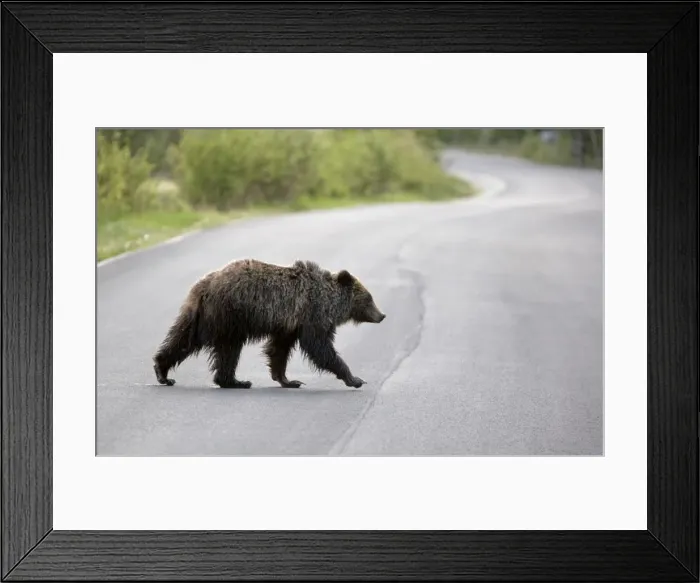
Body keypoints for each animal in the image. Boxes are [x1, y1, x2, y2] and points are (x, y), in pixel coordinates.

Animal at [152, 258, 386, 389]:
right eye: (369, 298)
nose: (382, 315)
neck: (329, 301)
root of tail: (203, 285)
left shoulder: (289, 325)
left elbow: (278, 350)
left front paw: (287, 380)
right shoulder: (311, 315)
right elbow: (319, 347)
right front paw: (354, 378)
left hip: (201, 316)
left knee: (184, 338)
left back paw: (163, 371)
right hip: (231, 316)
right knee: (228, 349)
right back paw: (236, 381)